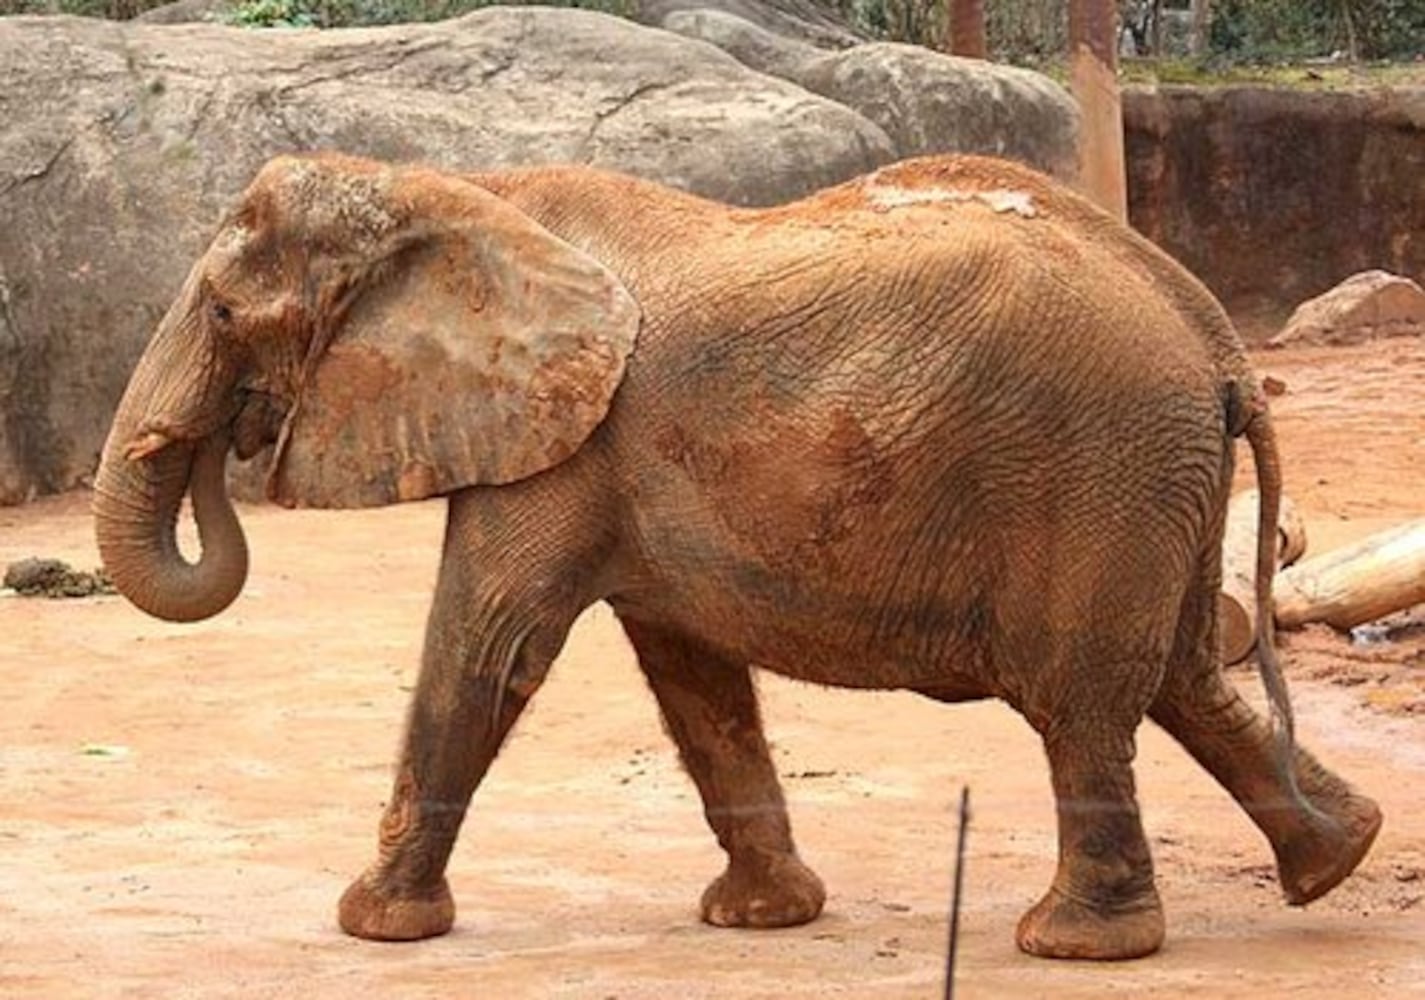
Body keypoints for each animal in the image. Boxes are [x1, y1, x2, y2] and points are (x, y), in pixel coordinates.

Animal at [91, 150, 1379, 962]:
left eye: (221, 314)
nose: (228, 441)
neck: (453, 188)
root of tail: (1219, 344)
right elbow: (689, 672)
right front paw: (766, 919)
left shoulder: (564, 445)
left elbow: (490, 643)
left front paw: (372, 925)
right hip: (1152, 484)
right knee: (1178, 676)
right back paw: (1335, 862)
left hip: (1103, 472)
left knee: (1084, 700)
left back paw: (1072, 944)